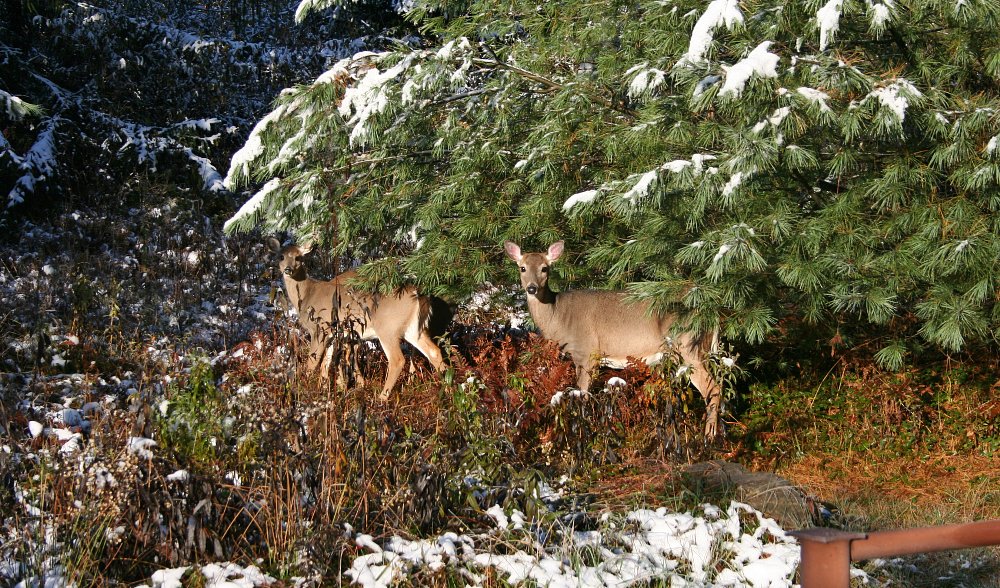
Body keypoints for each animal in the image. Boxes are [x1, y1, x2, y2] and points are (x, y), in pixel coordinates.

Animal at [267, 237, 446, 399]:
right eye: (281, 256)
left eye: (298, 257)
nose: (288, 269)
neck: (307, 295)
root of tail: (417, 293)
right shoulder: (333, 334)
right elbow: (327, 363)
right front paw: (325, 391)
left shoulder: (319, 328)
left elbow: (312, 363)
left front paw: (303, 389)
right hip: (413, 328)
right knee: (434, 351)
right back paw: (448, 389)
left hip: (387, 327)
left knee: (397, 360)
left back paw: (381, 399)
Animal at [504, 240, 723, 439]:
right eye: (522, 268)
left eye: (545, 268)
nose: (531, 288)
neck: (558, 316)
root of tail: (711, 309)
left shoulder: (586, 351)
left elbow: (582, 394)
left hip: (688, 344)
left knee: (713, 387)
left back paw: (709, 436)